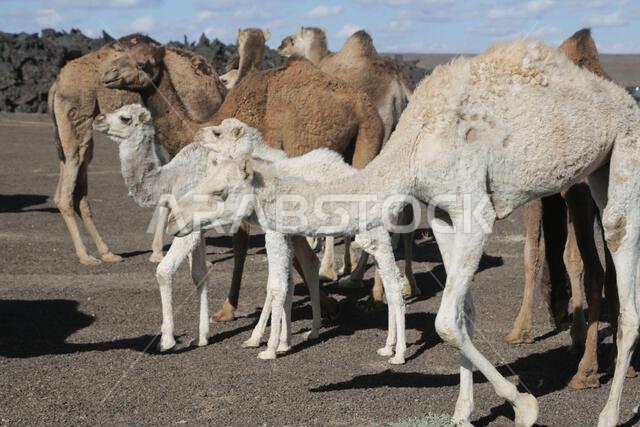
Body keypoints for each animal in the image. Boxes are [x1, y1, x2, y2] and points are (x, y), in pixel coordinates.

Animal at [49, 34, 226, 266]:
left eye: (142, 63)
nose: (109, 74)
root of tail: (56, 84)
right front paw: (167, 252)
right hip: (77, 120)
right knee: (66, 192)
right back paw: (86, 256)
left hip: (69, 135)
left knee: (75, 189)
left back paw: (106, 252)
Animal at [279, 28, 418, 297]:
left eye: (292, 40)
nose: (280, 46)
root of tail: (399, 90)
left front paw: (329, 269)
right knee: (405, 210)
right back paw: (408, 284)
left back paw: (364, 283)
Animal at [505, 28, 626, 390]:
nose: (554, 308)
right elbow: (570, 258)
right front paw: (576, 332)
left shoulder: (541, 193)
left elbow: (534, 254)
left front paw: (520, 330)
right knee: (613, 273)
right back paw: (621, 362)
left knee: (597, 273)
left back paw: (586, 372)